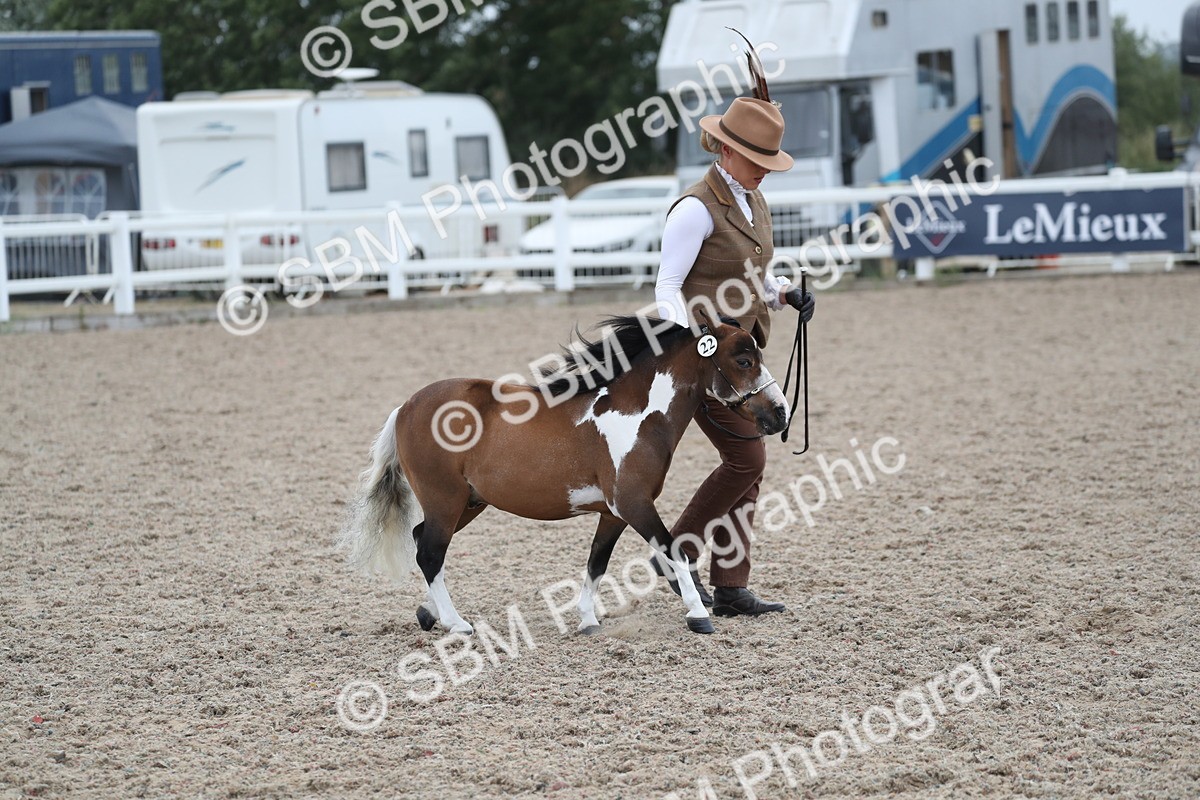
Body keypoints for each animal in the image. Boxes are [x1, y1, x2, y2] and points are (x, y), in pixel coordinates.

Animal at [338, 309, 790, 636]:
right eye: (744, 359)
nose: (780, 414)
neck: (638, 416)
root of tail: (406, 406)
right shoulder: (634, 504)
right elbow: (673, 549)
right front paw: (698, 615)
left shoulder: (613, 513)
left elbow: (596, 563)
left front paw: (588, 621)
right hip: (445, 501)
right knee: (430, 552)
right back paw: (457, 623)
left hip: (467, 503)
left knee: (422, 542)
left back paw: (431, 614)